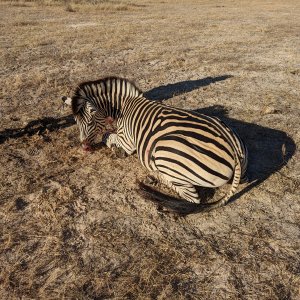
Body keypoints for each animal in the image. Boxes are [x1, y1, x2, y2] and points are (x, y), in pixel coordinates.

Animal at [61, 77, 248, 213]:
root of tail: (234, 151)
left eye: (90, 121)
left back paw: (154, 176)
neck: (123, 106)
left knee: (192, 198)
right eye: (76, 121)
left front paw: (114, 148)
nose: (85, 147)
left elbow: (108, 136)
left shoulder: (126, 141)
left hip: (166, 152)